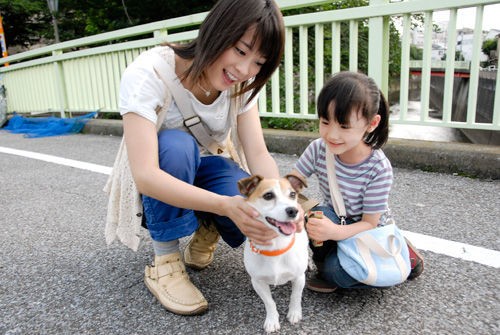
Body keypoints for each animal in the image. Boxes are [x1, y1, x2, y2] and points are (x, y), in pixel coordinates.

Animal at [238, 176, 308, 334]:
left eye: (292, 194)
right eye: (268, 195)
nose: (293, 210)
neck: (276, 247)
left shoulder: (299, 277)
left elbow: (296, 296)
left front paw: (294, 313)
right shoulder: (258, 282)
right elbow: (269, 302)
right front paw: (272, 320)